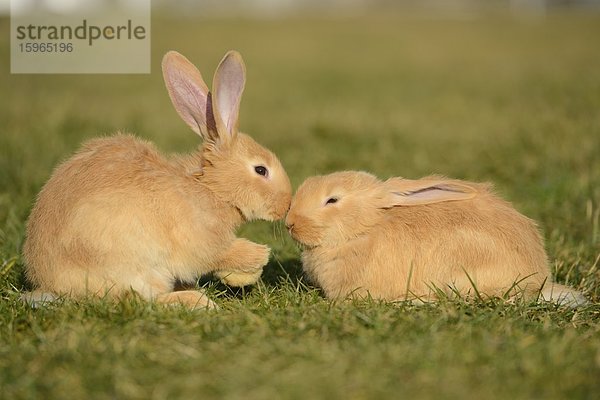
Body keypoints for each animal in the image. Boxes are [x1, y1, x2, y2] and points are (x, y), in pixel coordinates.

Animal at [22, 50, 292, 310]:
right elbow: (219, 254)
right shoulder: (201, 243)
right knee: (142, 300)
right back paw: (199, 302)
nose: (286, 206)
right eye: (261, 170)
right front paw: (258, 255)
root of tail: (49, 284)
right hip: (135, 268)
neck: (210, 188)